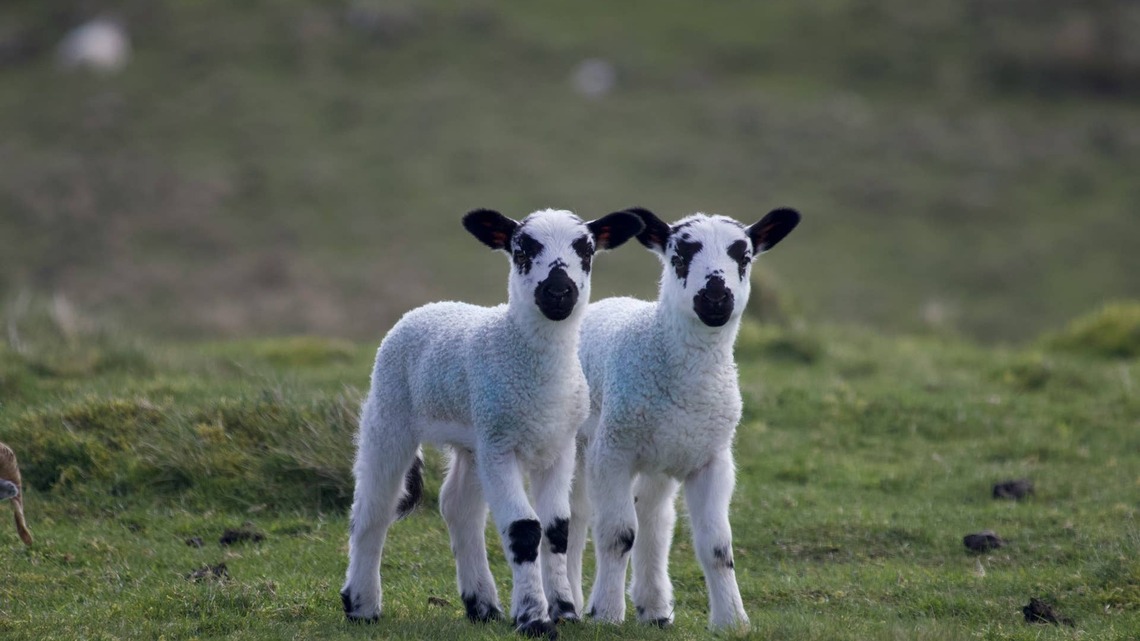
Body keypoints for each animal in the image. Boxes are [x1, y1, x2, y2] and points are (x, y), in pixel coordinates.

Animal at [341, 207, 643, 638]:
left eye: (586, 250)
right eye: (522, 249)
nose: (558, 292)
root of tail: (427, 307)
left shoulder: (559, 446)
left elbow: (557, 528)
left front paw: (564, 611)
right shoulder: (501, 446)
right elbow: (524, 529)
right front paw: (535, 619)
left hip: (473, 439)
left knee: (458, 507)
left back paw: (482, 605)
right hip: (390, 414)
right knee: (373, 508)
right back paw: (362, 605)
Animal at [566, 207, 800, 630]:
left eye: (744, 258)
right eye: (678, 257)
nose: (716, 296)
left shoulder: (712, 459)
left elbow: (717, 546)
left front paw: (732, 621)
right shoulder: (612, 451)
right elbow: (617, 534)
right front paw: (606, 614)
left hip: (662, 457)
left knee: (655, 519)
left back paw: (655, 608)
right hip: (578, 443)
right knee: (575, 518)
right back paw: (572, 604)